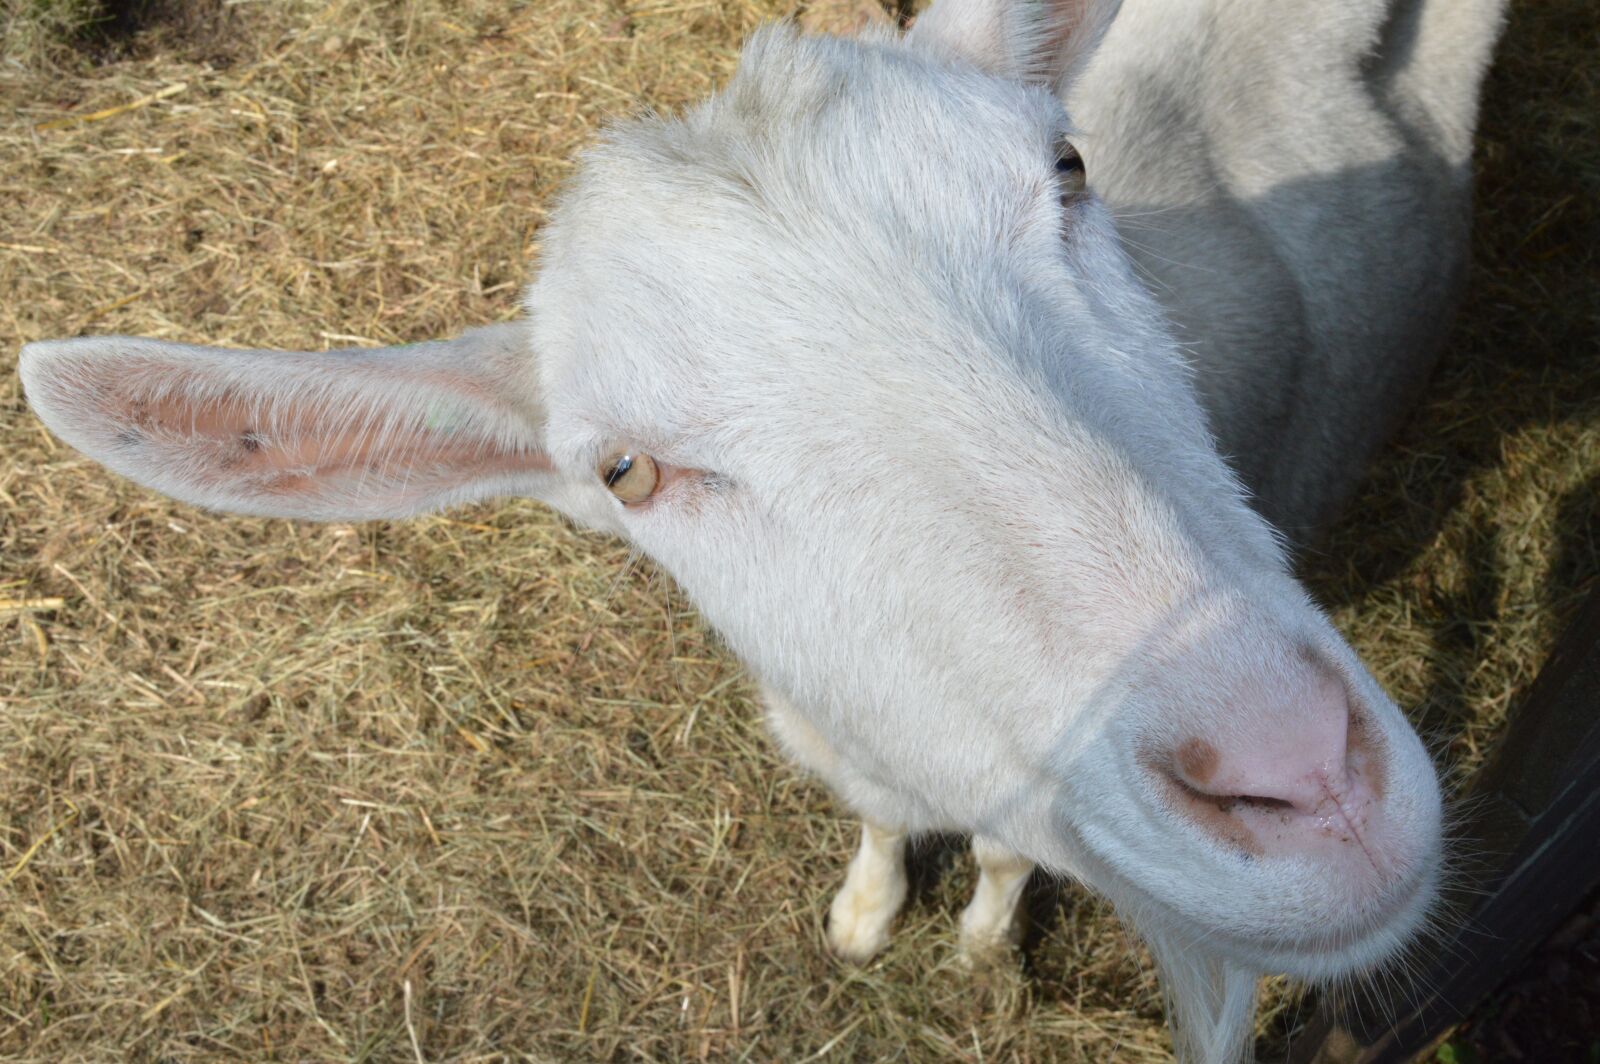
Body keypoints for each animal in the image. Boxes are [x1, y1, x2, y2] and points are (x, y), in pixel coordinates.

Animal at [17, 0, 1507, 1058]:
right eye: (623, 471)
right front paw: (864, 915)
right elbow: (874, 823)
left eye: (1066, 169)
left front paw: (974, 943)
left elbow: (1008, 852)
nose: (1300, 776)